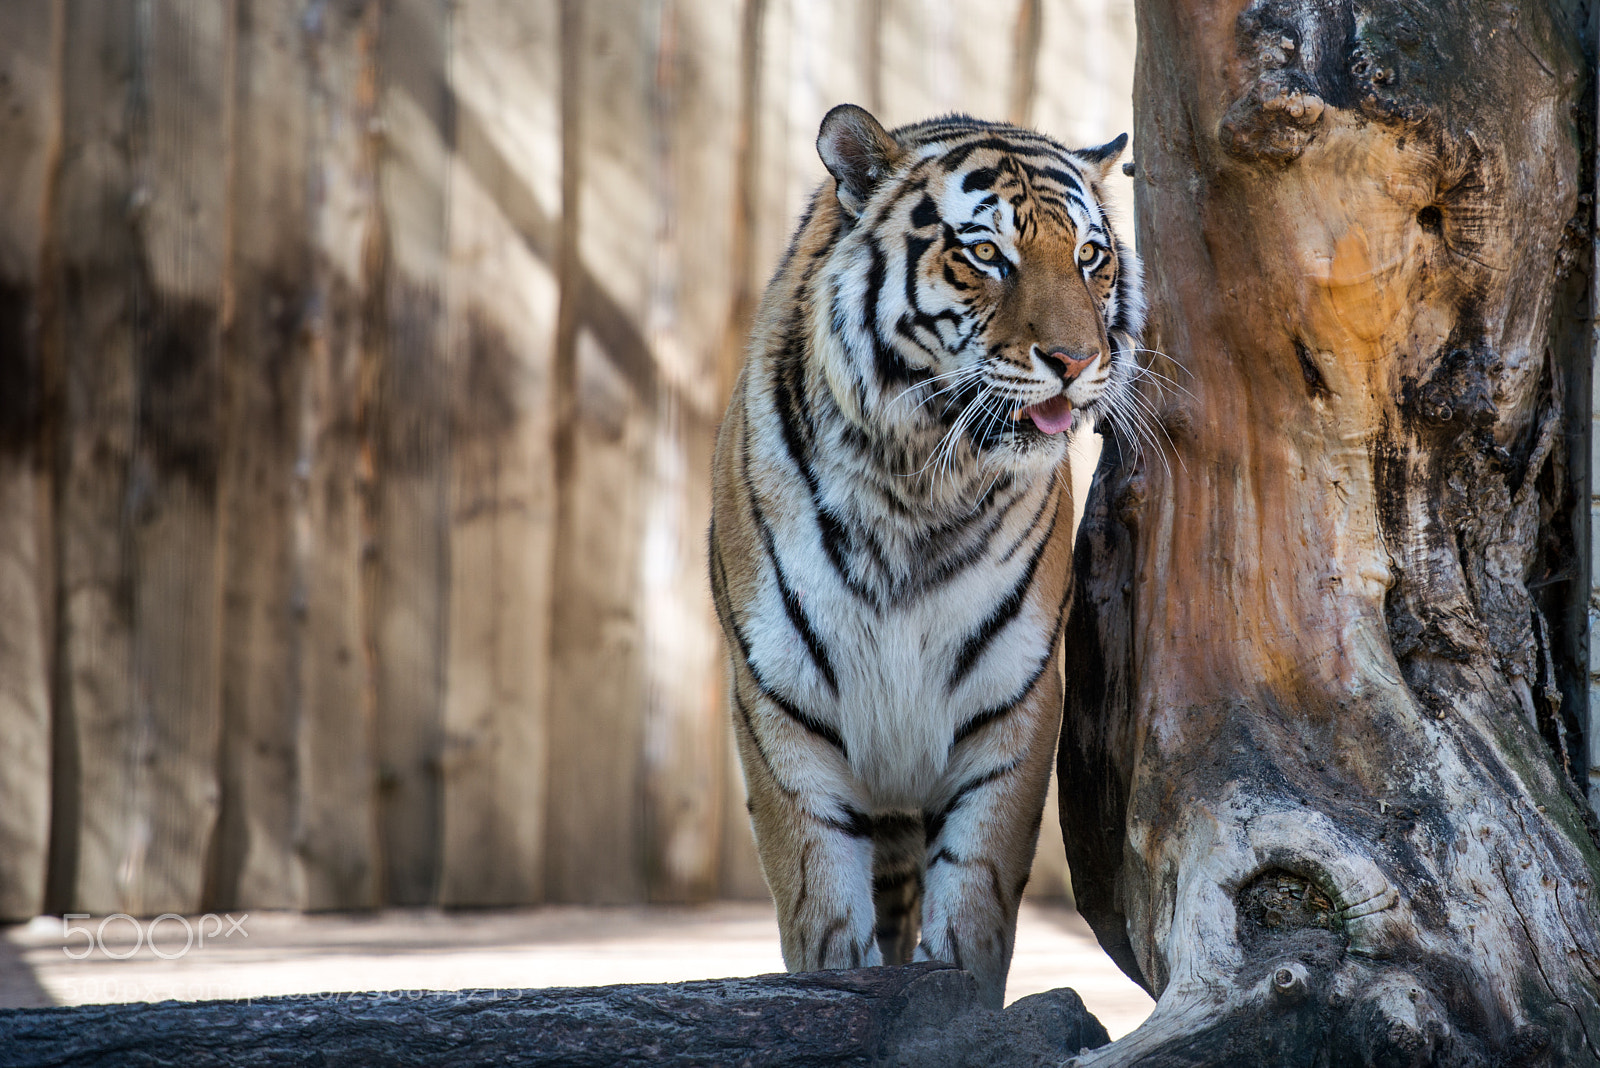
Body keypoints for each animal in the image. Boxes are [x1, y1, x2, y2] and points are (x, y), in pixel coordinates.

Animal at [707, 103, 1144, 1010]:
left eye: (1090, 257)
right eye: (986, 254)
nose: (1078, 361)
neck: (920, 484)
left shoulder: (1010, 708)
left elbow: (973, 905)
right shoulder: (781, 709)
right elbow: (824, 911)